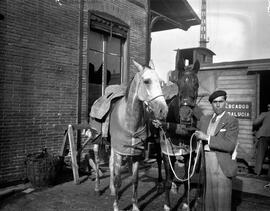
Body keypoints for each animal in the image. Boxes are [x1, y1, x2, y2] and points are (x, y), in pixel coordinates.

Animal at [86, 59, 168, 211]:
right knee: (98, 161)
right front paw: (116, 206)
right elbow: (119, 180)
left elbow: (135, 180)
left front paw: (135, 205)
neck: (129, 120)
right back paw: (98, 189)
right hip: (96, 142)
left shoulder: (135, 153)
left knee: (110, 163)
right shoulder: (120, 152)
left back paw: (112, 190)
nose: (163, 111)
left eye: (160, 82)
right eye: (146, 81)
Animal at [151, 51, 204, 211]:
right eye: (179, 85)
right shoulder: (167, 152)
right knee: (158, 160)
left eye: (196, 84)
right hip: (157, 142)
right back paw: (160, 183)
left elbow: (186, 179)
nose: (186, 115)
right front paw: (167, 205)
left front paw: (186, 204)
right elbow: (168, 179)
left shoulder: (187, 153)